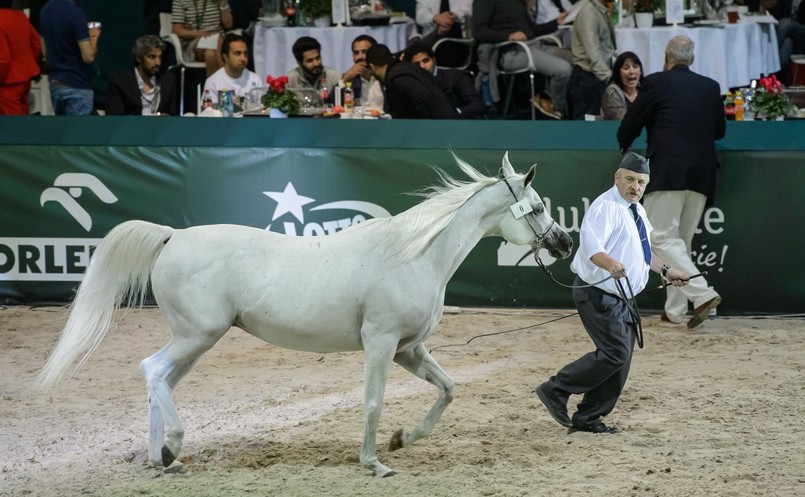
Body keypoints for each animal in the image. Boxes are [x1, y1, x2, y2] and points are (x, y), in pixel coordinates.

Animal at [37, 152, 572, 476]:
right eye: (537, 207)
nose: (565, 243)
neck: (413, 255)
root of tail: (174, 236)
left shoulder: (409, 349)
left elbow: (448, 389)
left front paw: (403, 439)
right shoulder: (380, 345)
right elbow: (373, 402)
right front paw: (374, 463)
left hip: (196, 343)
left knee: (160, 381)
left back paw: (162, 459)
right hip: (197, 336)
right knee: (151, 370)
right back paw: (170, 446)